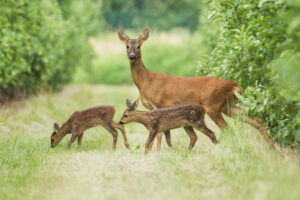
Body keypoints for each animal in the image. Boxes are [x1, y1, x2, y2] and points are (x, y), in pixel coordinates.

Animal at [116, 27, 274, 150]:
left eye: (139, 46)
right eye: (126, 46)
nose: (132, 56)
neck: (147, 81)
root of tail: (234, 83)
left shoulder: (160, 104)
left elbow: (161, 133)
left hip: (212, 104)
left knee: (226, 128)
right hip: (229, 105)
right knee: (256, 121)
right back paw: (274, 150)